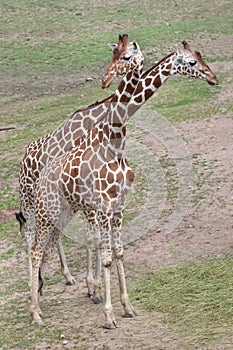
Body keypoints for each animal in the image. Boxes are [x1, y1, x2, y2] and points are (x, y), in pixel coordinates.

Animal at [28, 41, 218, 328]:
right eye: (192, 62)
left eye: (199, 56)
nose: (213, 77)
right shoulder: (100, 205)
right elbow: (102, 249)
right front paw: (104, 307)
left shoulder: (111, 206)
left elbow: (113, 250)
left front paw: (120, 303)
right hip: (40, 207)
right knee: (34, 247)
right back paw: (36, 310)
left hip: (63, 209)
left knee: (47, 244)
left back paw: (45, 292)